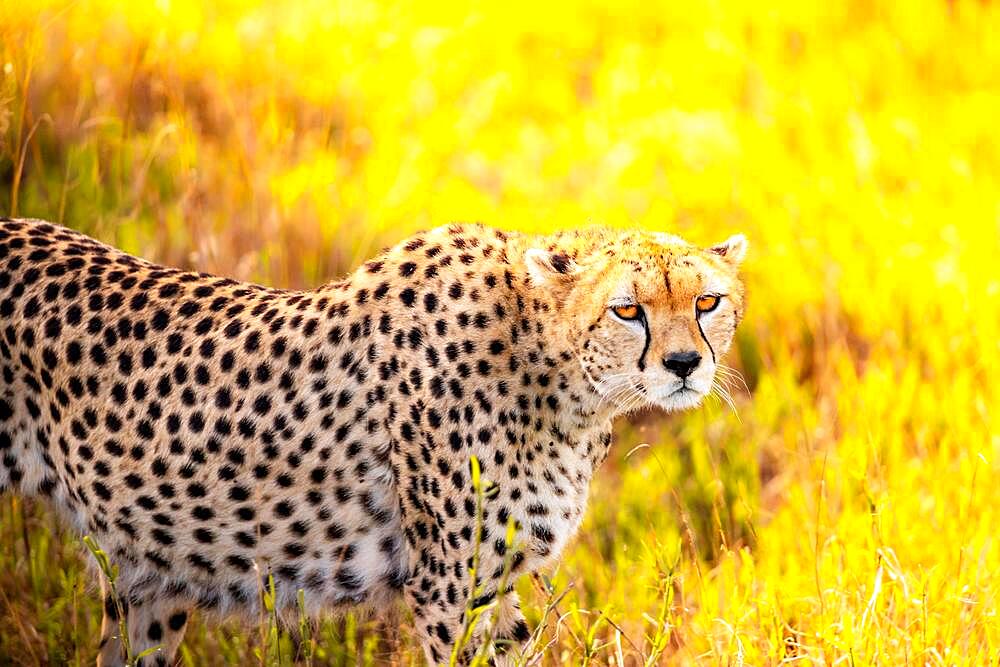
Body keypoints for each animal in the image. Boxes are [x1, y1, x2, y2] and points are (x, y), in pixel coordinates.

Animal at [0, 218, 748, 664]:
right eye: (628, 309)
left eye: (706, 302)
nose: (685, 364)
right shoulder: (452, 591)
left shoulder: (495, 587)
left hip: (149, 584)